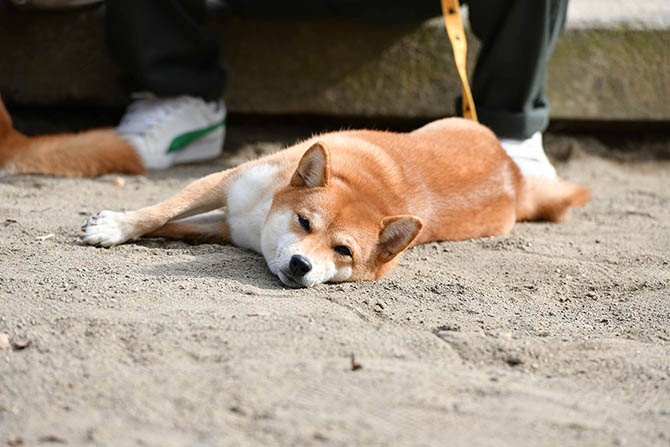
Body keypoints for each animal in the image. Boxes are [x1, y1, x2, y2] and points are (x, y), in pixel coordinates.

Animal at [0, 98, 588, 288]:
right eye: (306, 224)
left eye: (343, 251)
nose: (303, 266)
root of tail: (513, 173)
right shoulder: (224, 185)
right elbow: (163, 211)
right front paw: (119, 226)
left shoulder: (229, 220)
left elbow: (178, 225)